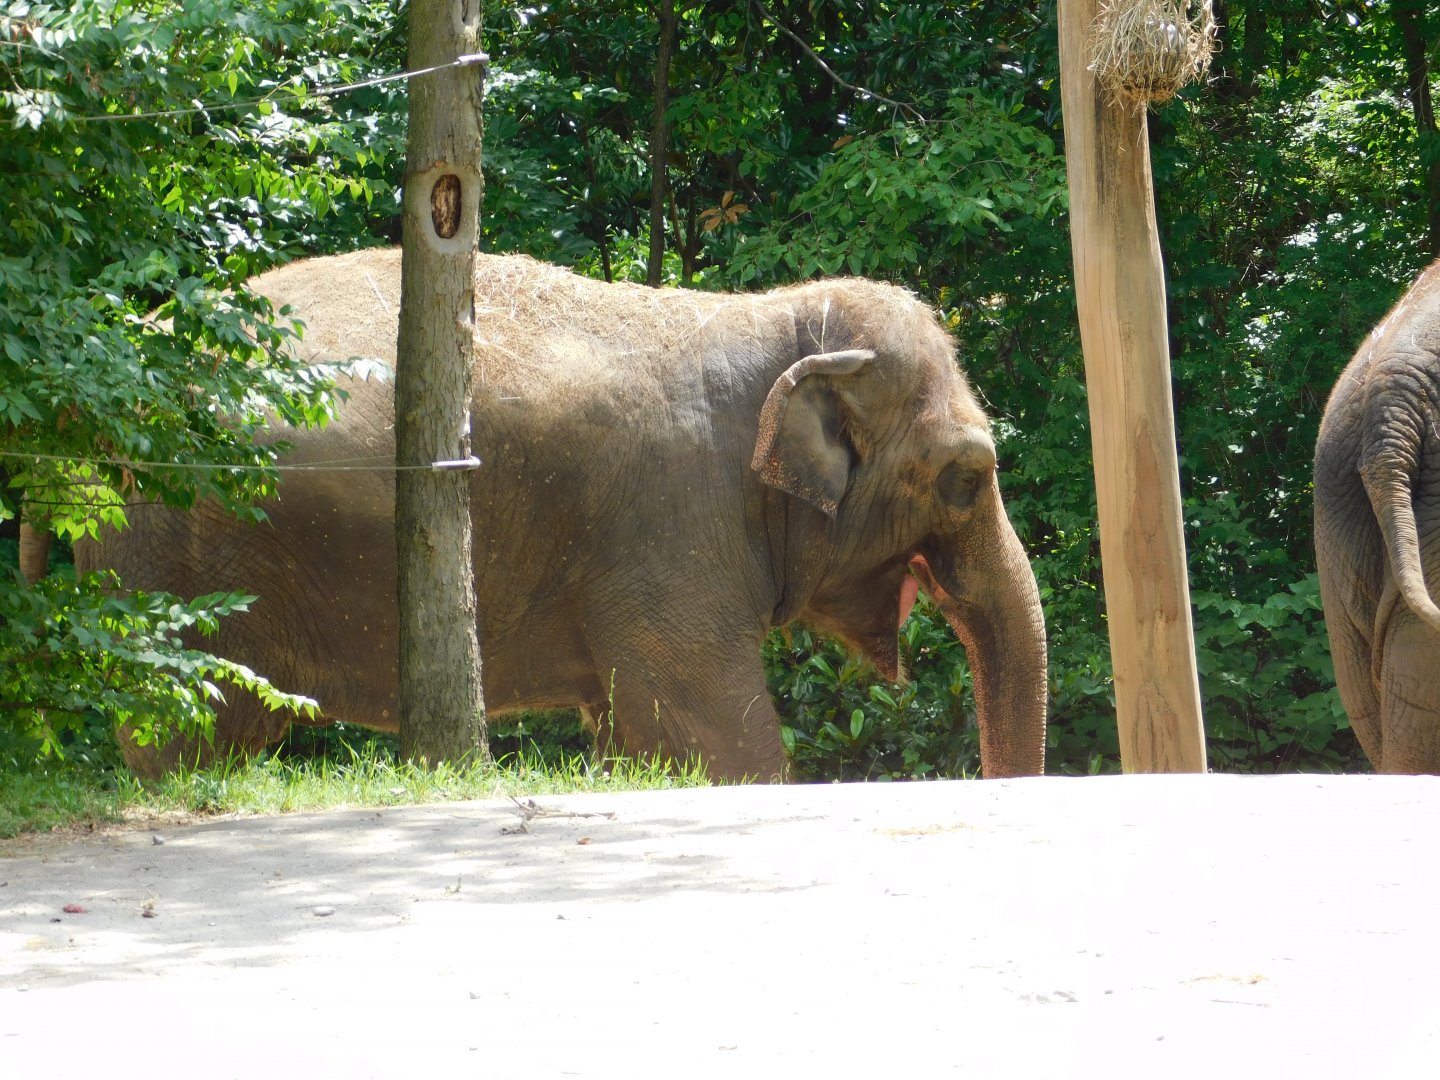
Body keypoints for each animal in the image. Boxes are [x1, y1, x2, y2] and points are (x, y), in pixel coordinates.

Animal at [76, 248, 1049, 781]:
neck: (769, 317)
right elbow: (718, 742)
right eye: (967, 478)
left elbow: (635, 739)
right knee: (190, 733)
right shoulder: (670, 528)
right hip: (174, 561)